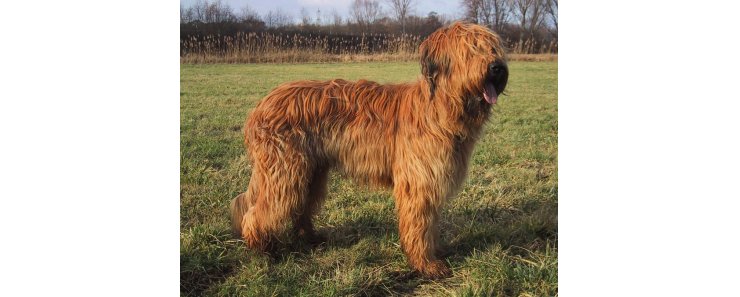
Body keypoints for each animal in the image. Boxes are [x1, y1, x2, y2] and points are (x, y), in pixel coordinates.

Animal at [231, 21, 508, 278]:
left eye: (493, 47)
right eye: (471, 50)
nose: (497, 67)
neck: (440, 109)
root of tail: (261, 105)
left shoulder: (431, 182)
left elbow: (431, 223)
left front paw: (435, 252)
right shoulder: (419, 183)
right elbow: (420, 225)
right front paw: (426, 264)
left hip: (310, 171)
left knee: (301, 206)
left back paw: (310, 238)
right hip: (285, 171)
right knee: (262, 211)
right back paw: (263, 249)